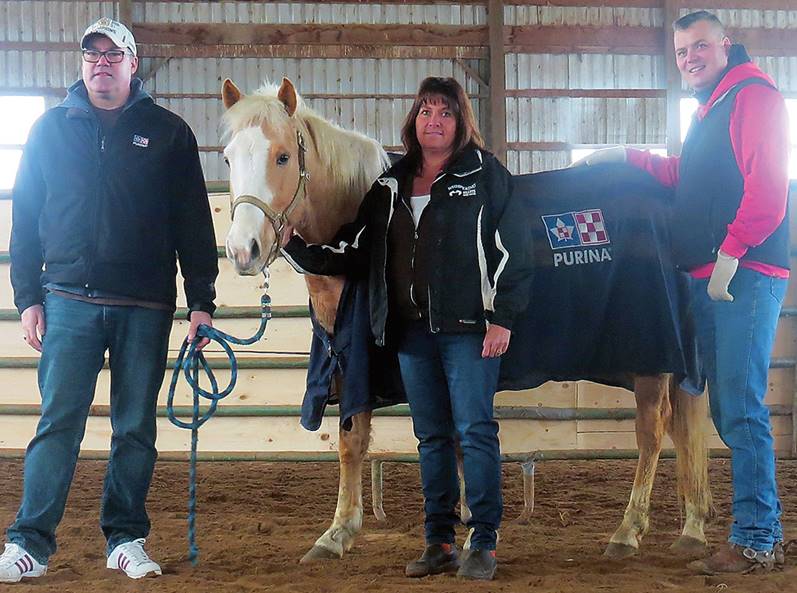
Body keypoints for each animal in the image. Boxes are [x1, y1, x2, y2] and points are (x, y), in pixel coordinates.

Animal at [221, 76, 712, 560]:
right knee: (683, 428)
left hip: (652, 356)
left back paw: (628, 531)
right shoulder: (350, 362)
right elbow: (355, 440)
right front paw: (341, 531)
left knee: (653, 431)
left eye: (283, 156)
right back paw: (692, 528)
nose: (243, 250)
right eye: (227, 157)